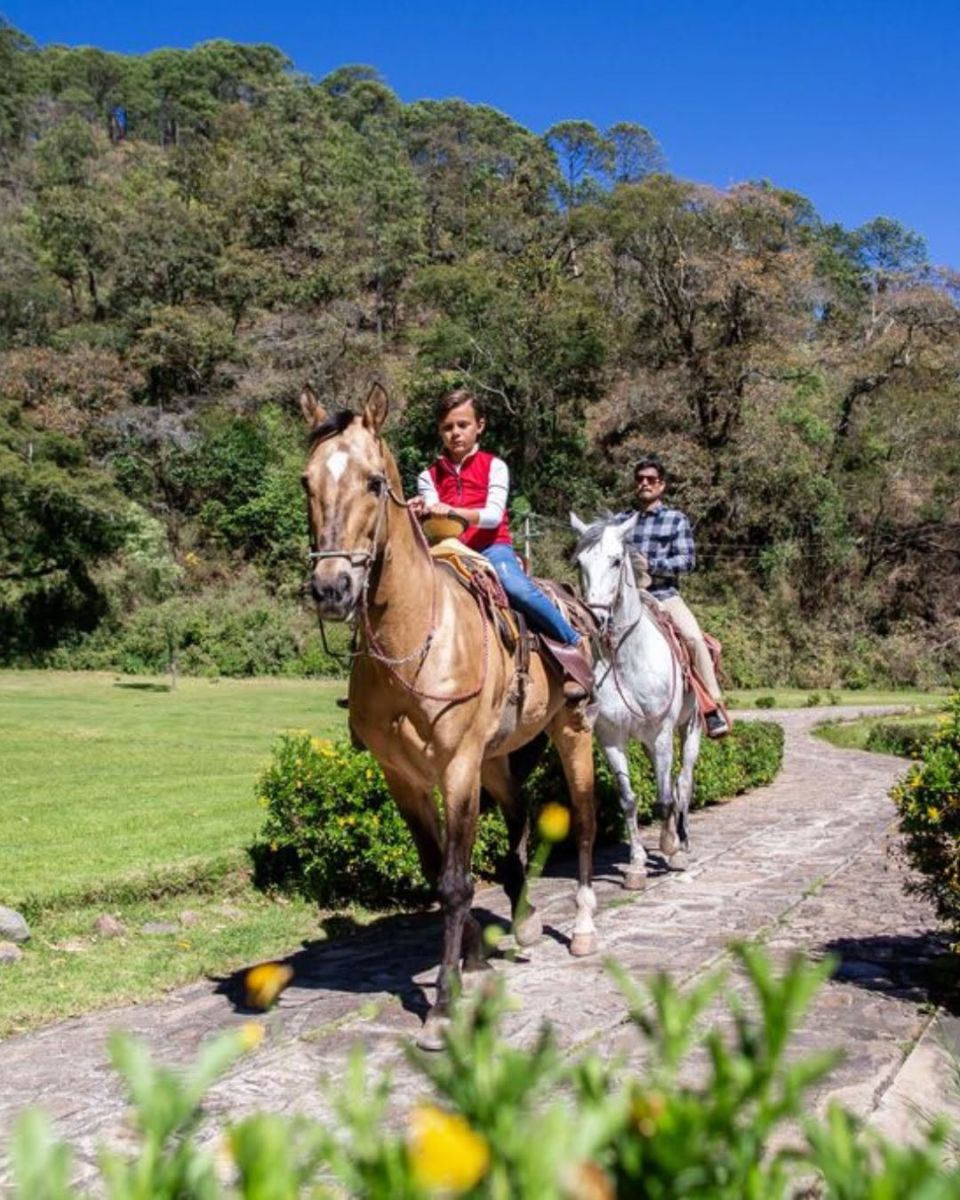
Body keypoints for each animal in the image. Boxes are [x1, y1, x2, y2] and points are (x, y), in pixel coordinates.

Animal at [301, 382, 598, 1049]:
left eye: (373, 482)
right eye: (307, 480)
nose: (332, 587)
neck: (416, 640)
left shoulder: (457, 767)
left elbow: (458, 880)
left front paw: (443, 1006)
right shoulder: (403, 778)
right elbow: (438, 869)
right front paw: (475, 964)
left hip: (571, 732)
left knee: (587, 821)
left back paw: (584, 928)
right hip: (498, 758)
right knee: (520, 818)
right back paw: (524, 923)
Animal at [570, 511, 703, 886]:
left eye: (616, 561)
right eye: (579, 563)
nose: (596, 618)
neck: (625, 659)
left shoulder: (662, 733)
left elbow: (664, 797)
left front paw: (670, 846)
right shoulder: (611, 736)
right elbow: (629, 799)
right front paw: (637, 864)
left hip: (691, 727)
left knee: (683, 781)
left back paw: (683, 842)